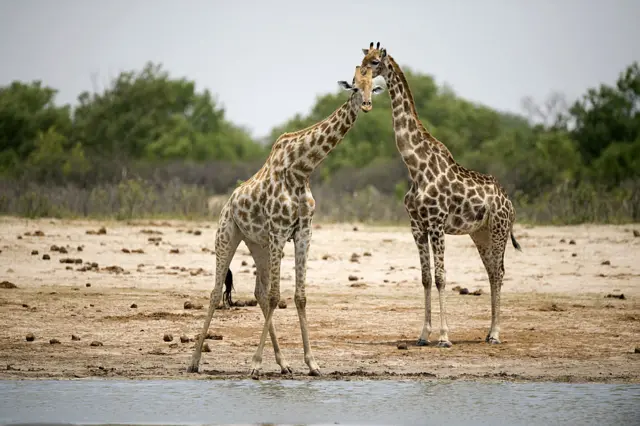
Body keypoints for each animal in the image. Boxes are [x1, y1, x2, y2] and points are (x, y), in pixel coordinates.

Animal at [186, 65, 384, 378]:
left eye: (372, 87)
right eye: (354, 87)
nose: (366, 105)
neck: (302, 169)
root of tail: (228, 201)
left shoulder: (303, 232)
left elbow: (297, 296)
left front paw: (312, 363)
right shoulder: (280, 231)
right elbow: (276, 296)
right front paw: (255, 364)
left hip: (259, 244)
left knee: (258, 292)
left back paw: (283, 363)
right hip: (228, 235)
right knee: (217, 292)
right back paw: (194, 361)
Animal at [360, 42, 520, 350]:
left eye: (374, 62)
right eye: (360, 61)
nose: (357, 80)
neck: (415, 166)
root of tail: (510, 202)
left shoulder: (436, 224)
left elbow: (441, 277)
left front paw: (445, 337)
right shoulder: (417, 226)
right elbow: (425, 278)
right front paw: (424, 335)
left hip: (499, 229)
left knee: (499, 272)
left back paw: (495, 333)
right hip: (480, 233)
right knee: (492, 272)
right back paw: (488, 332)